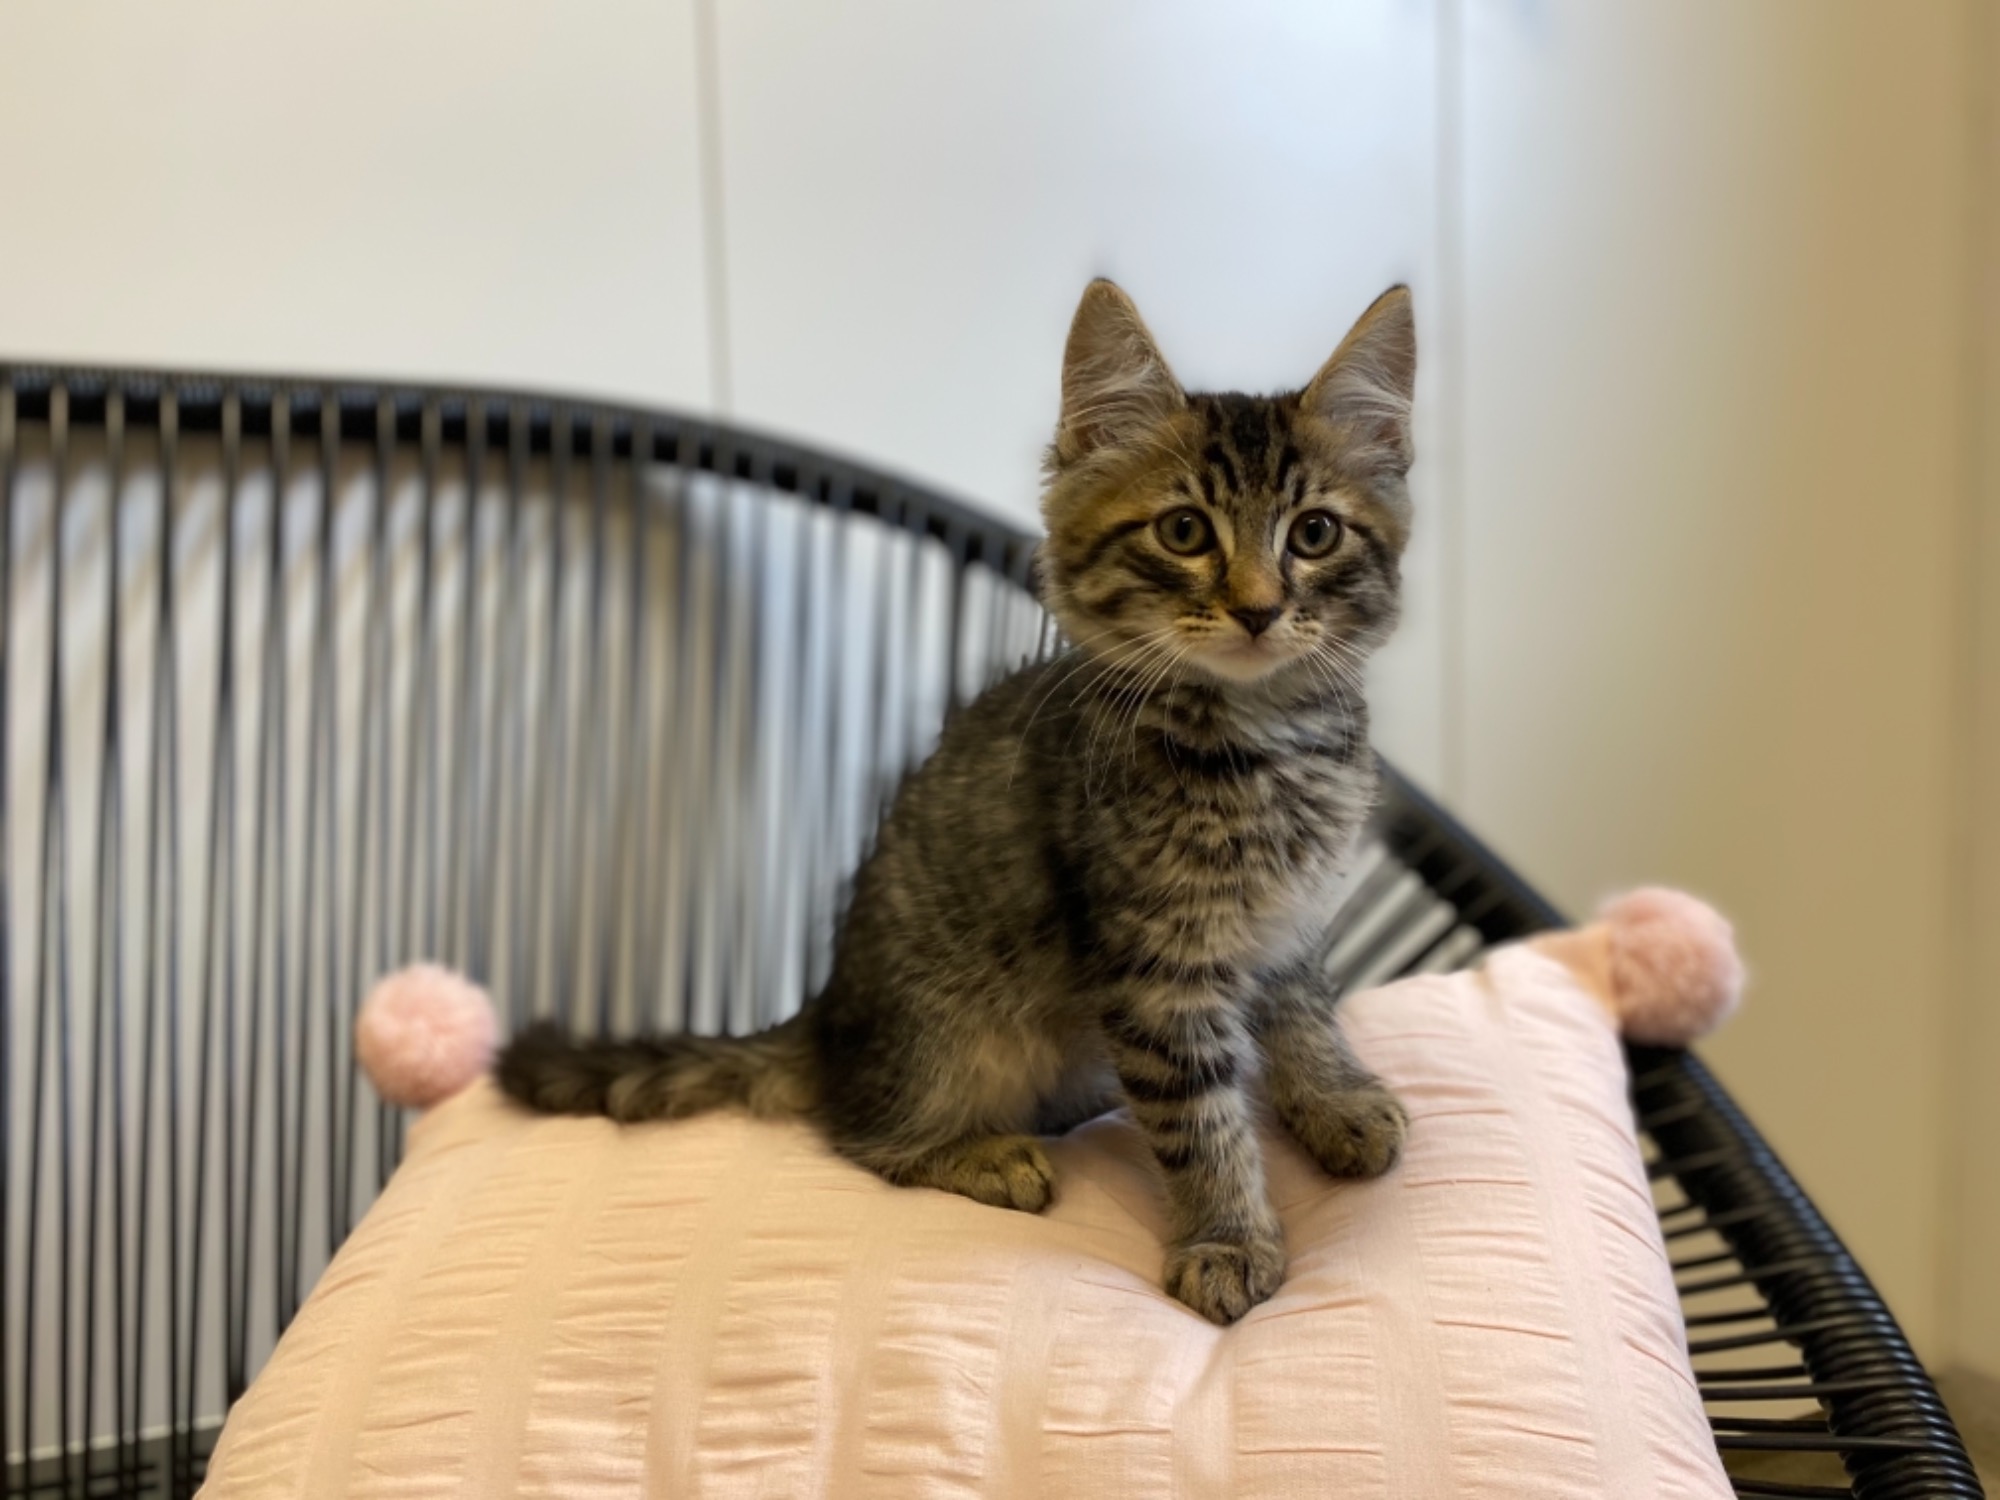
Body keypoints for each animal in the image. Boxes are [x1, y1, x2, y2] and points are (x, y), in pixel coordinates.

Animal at [497, 278, 1418, 1324]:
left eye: (1314, 534)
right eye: (1184, 531)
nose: (1261, 609)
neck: (1269, 739)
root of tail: (825, 1020)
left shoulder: (1292, 924)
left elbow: (1306, 1018)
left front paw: (1336, 1102)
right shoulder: (1155, 969)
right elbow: (1200, 1115)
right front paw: (1227, 1237)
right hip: (953, 1034)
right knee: (862, 1136)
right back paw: (981, 1155)